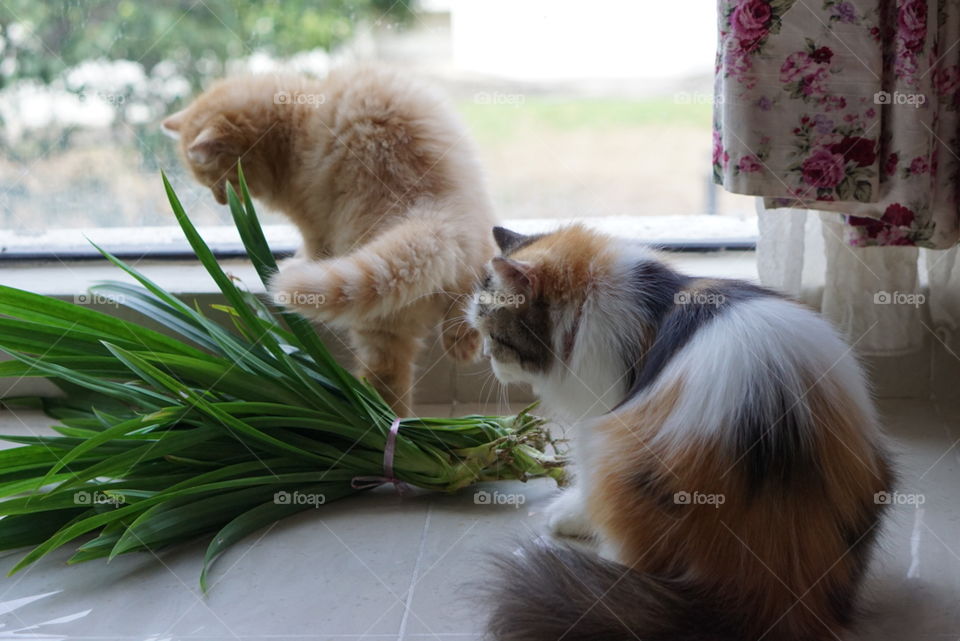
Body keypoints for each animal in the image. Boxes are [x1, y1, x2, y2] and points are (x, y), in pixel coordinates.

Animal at [162, 66, 496, 416]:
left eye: (217, 181)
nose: (220, 201)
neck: (295, 119)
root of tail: (430, 213)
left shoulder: (311, 217)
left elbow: (313, 247)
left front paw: (299, 262)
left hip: (377, 324)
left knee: (387, 377)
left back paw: (380, 416)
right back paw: (461, 345)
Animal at [468, 225, 896, 640]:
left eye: (496, 337)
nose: (486, 357)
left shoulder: (599, 412)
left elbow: (584, 488)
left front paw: (568, 514)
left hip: (608, 448)